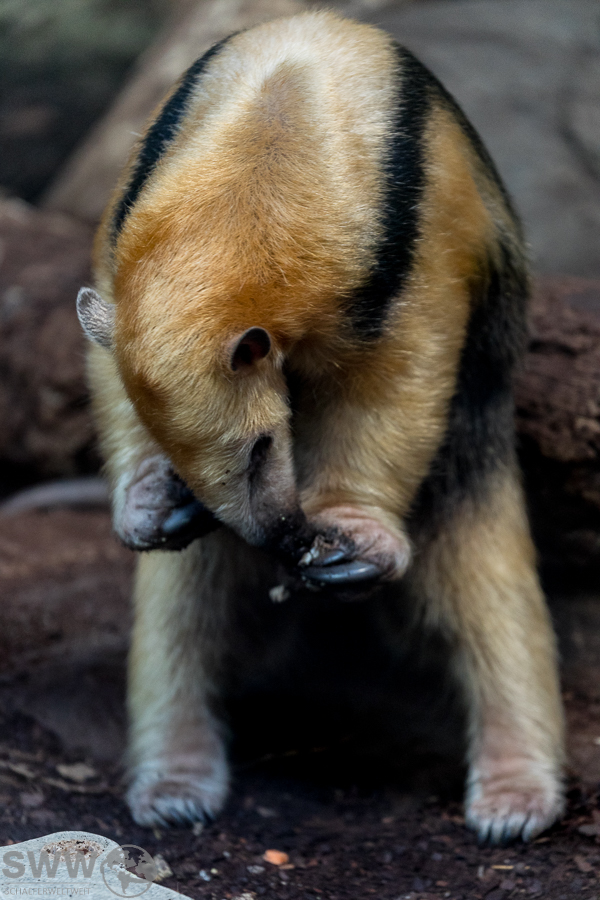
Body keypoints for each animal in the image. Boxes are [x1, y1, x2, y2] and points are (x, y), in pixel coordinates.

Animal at [76, 10, 565, 844]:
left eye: (264, 444)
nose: (286, 540)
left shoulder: (415, 252)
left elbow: (398, 377)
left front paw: (349, 537)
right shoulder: (126, 237)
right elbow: (107, 357)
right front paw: (146, 501)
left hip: (472, 447)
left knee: (483, 579)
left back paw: (515, 801)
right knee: (185, 605)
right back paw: (175, 785)